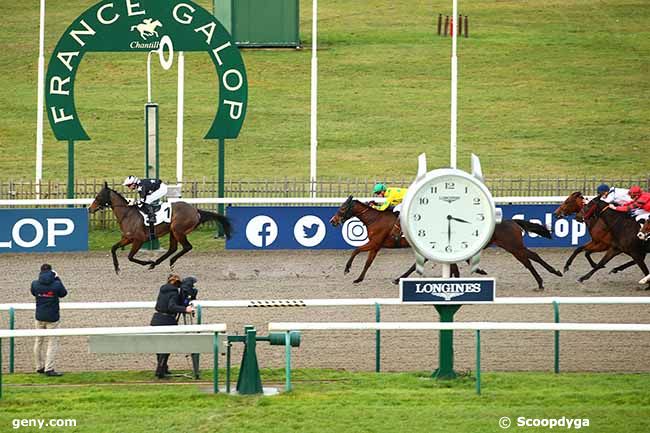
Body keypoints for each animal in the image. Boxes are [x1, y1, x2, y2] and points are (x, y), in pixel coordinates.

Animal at [87, 182, 232, 274]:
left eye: (98, 196)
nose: (90, 209)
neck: (127, 214)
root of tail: (196, 211)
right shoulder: (128, 238)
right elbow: (113, 248)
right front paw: (117, 268)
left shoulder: (139, 239)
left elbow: (130, 257)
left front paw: (146, 262)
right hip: (173, 231)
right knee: (172, 248)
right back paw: (156, 263)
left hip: (178, 230)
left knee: (187, 247)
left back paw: (166, 261)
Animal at [392, 218, 560, 288]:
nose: (396, 236)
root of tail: (513, 221)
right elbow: (455, 269)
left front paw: (398, 279)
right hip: (515, 247)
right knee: (533, 257)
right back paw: (550, 274)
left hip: (514, 247)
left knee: (529, 261)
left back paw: (542, 280)